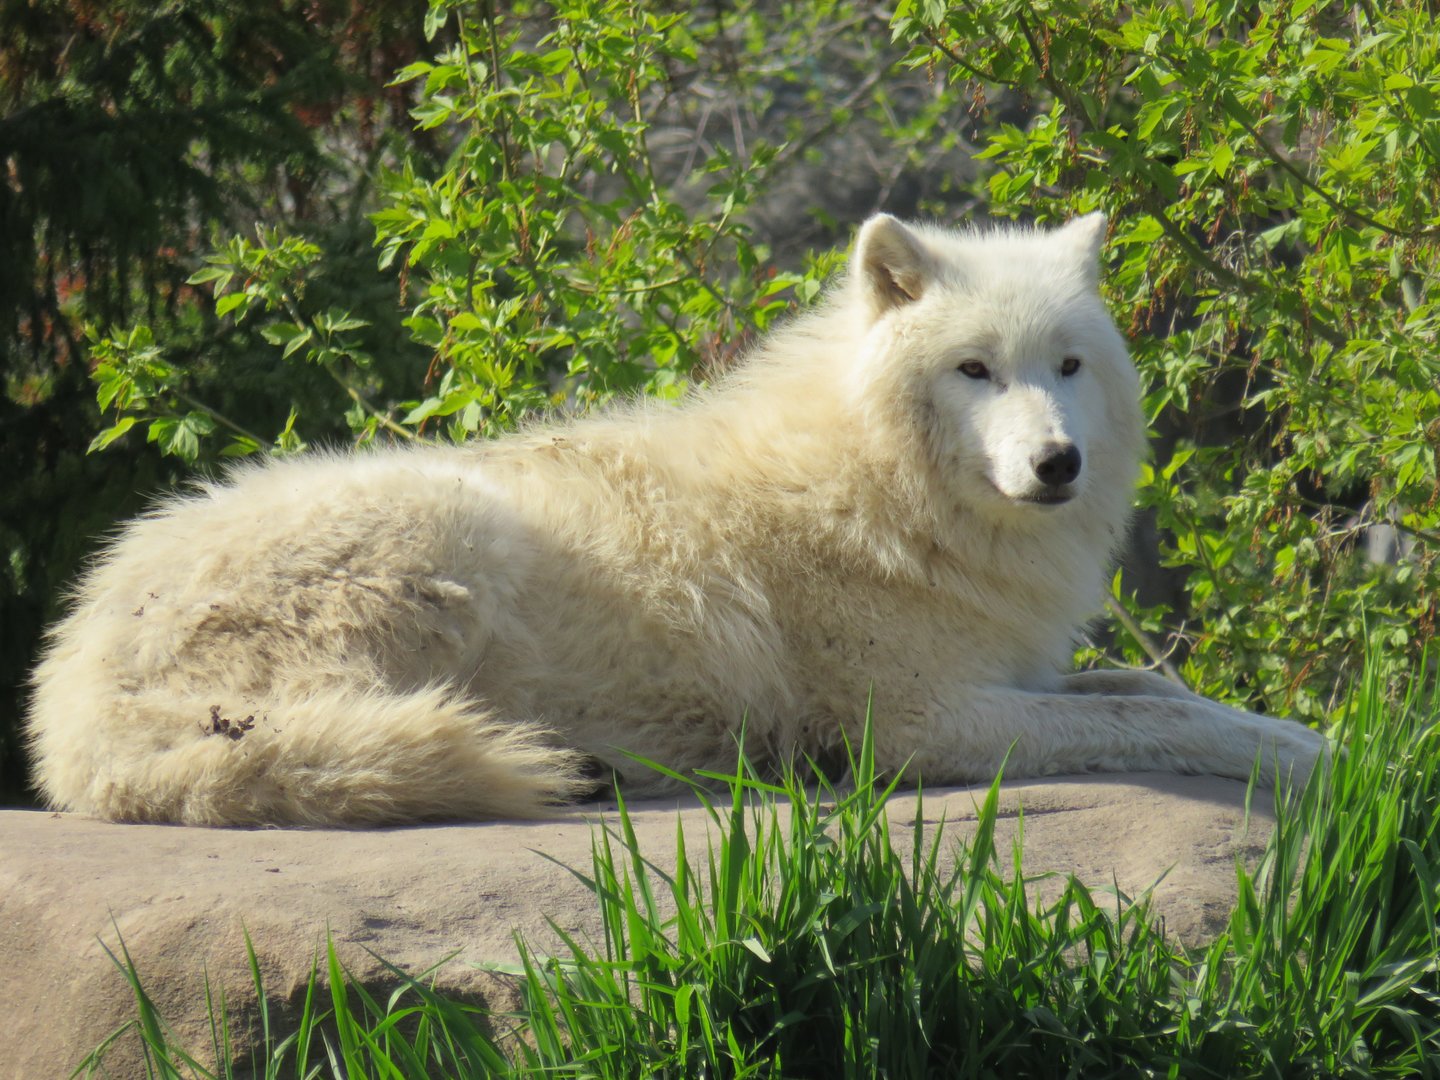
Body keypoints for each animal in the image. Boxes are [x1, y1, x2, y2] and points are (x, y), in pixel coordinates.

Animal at [26, 213, 1327, 825]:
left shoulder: (1019, 672)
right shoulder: (924, 725)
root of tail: (67, 696)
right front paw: (1303, 758)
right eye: (974, 370)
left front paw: (1314, 739)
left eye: (1065, 366)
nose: (1057, 463)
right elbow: (1162, 726)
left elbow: (1157, 689)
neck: (877, 485)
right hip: (446, 529)